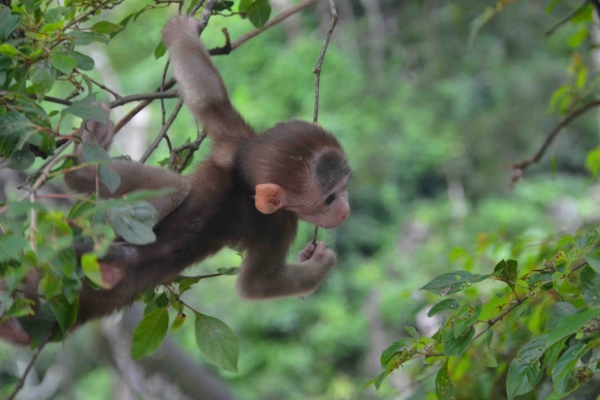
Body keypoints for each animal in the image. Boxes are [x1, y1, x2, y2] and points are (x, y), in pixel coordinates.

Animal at [0, 14, 350, 340]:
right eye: (329, 199)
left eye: (345, 188)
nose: (345, 210)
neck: (247, 186)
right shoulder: (274, 210)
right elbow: (257, 285)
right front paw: (322, 263)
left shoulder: (240, 147)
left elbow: (207, 99)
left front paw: (180, 31)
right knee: (175, 188)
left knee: (168, 190)